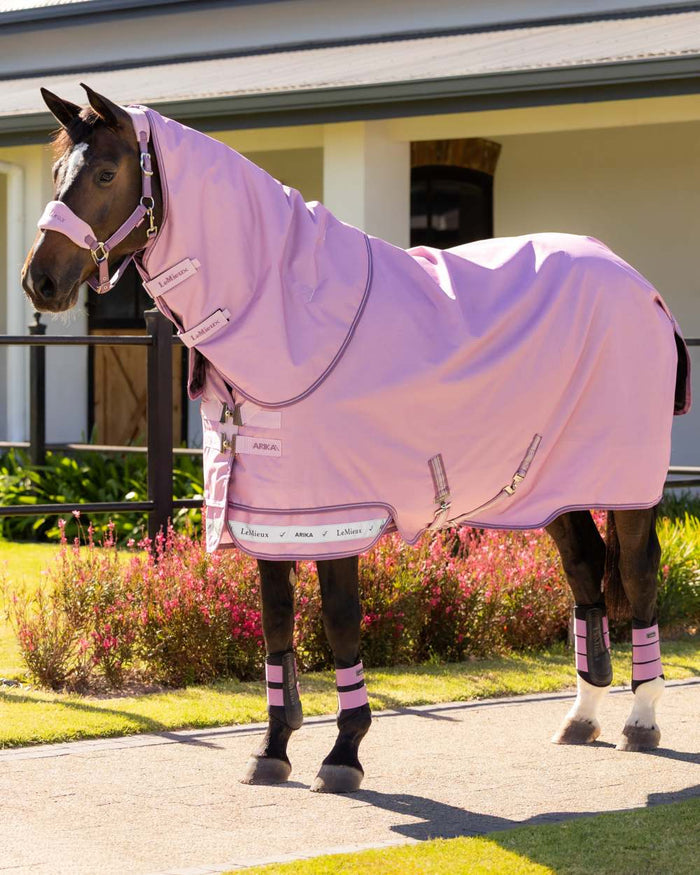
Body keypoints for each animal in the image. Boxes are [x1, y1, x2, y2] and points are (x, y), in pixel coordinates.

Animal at [23, 85, 691, 794]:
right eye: (59, 171)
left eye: (105, 174)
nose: (40, 281)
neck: (292, 312)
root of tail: (642, 287)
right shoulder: (271, 516)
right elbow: (277, 620)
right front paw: (273, 748)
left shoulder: (335, 514)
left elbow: (340, 618)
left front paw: (344, 753)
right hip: (551, 484)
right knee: (585, 568)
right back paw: (582, 716)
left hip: (629, 489)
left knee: (639, 576)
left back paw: (641, 719)